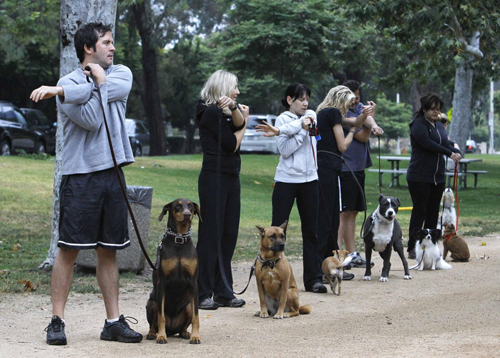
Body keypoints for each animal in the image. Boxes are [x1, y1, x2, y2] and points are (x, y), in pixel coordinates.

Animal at [146, 199, 203, 344]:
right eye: (177, 205)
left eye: (190, 205)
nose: (187, 214)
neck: (179, 241)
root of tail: (171, 330)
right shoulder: (162, 283)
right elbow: (161, 317)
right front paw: (161, 336)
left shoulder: (193, 283)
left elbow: (196, 317)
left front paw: (196, 336)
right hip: (152, 303)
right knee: (153, 323)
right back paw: (153, 334)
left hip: (187, 306)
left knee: (183, 326)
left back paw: (186, 333)